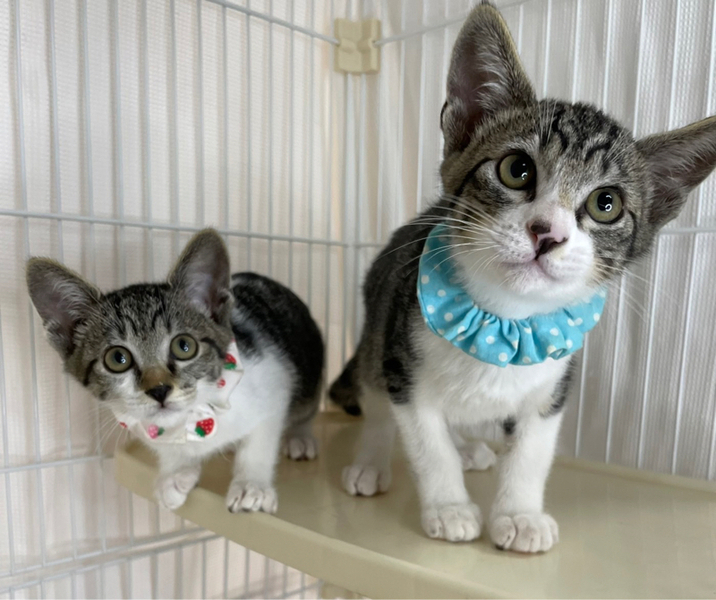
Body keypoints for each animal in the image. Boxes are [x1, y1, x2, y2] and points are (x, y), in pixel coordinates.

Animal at [27, 229, 324, 514]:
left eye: (184, 346)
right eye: (117, 358)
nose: (159, 389)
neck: (194, 418)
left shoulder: (272, 380)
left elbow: (259, 442)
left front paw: (252, 485)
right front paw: (175, 474)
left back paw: (300, 437)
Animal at [329, 1, 716, 553]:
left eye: (606, 204)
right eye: (517, 169)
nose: (547, 233)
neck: (505, 320)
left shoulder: (552, 388)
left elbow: (532, 453)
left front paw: (519, 514)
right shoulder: (404, 365)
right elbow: (426, 443)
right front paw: (449, 506)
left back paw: (469, 447)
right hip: (378, 323)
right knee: (375, 397)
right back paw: (372, 462)